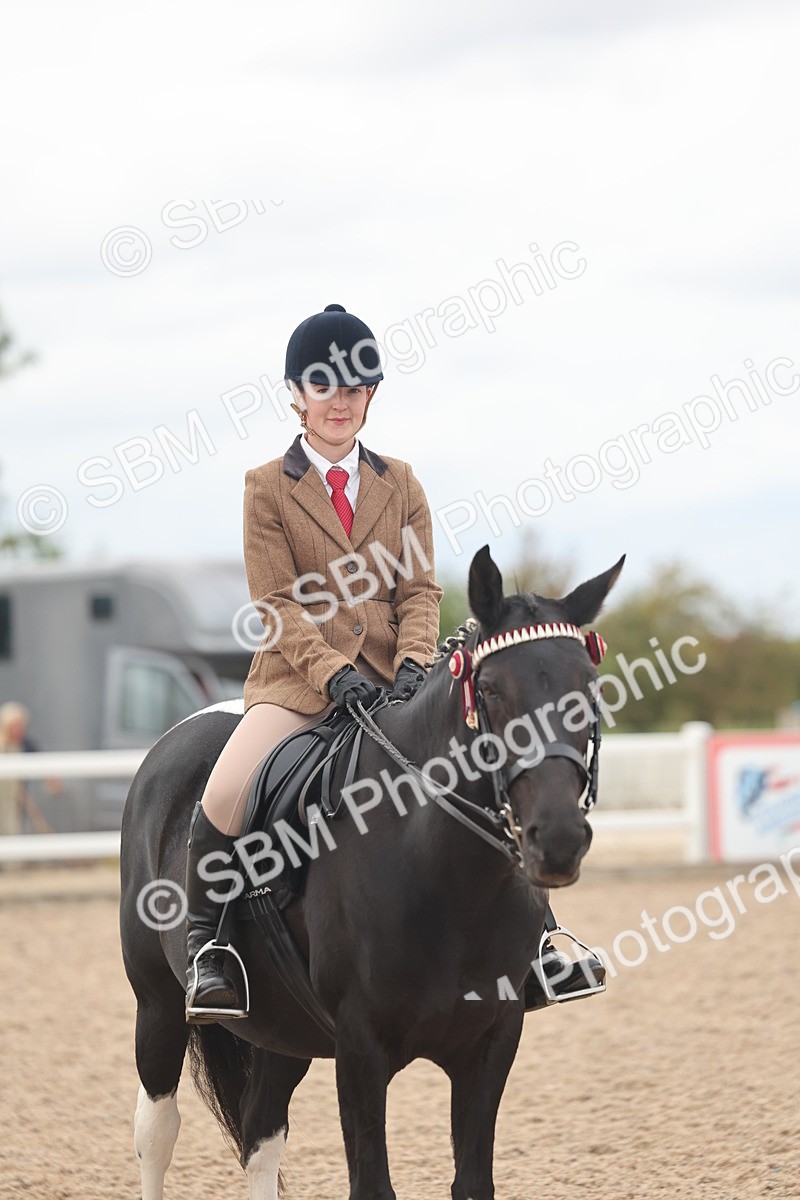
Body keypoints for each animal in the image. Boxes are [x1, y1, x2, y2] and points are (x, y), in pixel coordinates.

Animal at [119, 544, 623, 1200]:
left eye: (588, 688)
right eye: (489, 689)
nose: (558, 840)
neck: (449, 882)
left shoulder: (492, 1040)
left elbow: (472, 1181)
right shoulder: (361, 1049)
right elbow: (373, 1183)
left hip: (285, 1030)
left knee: (261, 1137)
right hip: (157, 1003)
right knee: (157, 1131)